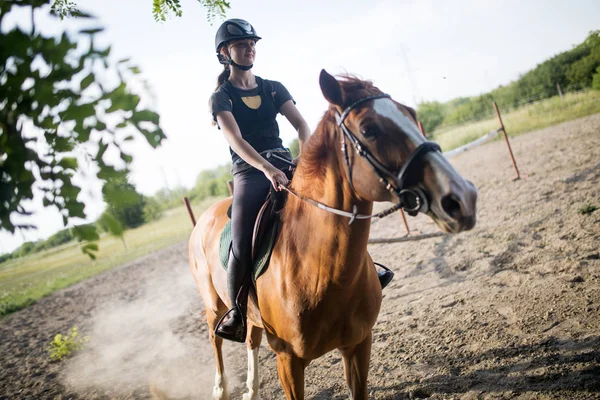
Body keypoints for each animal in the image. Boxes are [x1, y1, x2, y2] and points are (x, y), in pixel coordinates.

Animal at [190, 70, 476, 398]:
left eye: (411, 114)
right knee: (216, 338)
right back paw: (221, 388)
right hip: (215, 306)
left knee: (252, 338)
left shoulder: (359, 344)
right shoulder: (288, 361)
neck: (315, 268)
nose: (463, 197)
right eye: (368, 129)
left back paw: (252, 389)